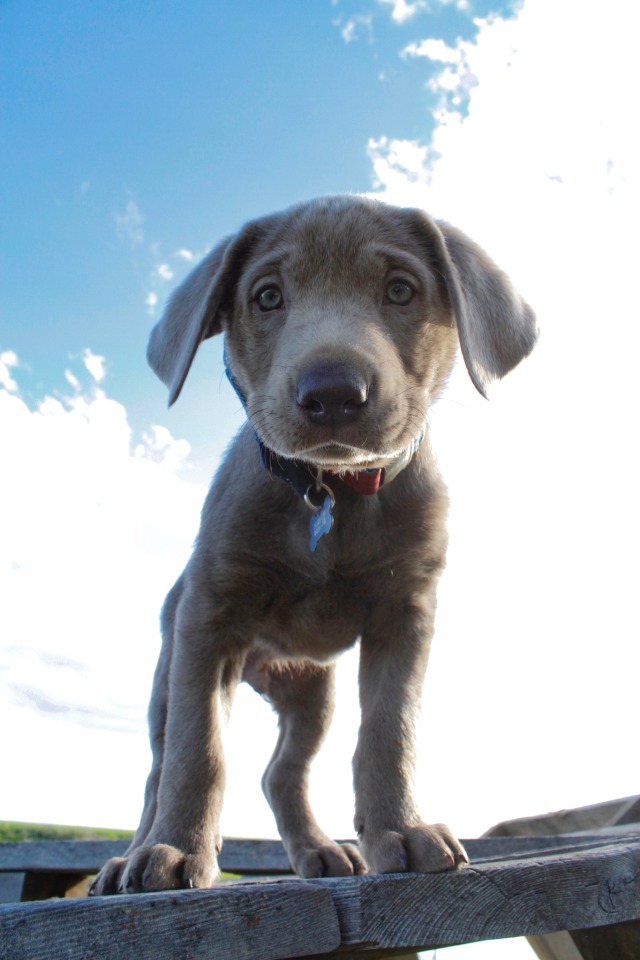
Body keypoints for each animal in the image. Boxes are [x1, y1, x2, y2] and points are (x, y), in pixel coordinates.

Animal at [92, 191, 536, 896]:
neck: (332, 493)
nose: (331, 393)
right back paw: (135, 852)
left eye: (401, 289)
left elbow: (389, 729)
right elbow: (198, 750)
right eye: (268, 296)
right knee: (159, 771)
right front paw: (176, 850)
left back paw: (320, 851)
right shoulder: (207, 620)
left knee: (282, 774)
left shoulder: (406, 615)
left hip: (311, 692)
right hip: (169, 672)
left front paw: (402, 830)